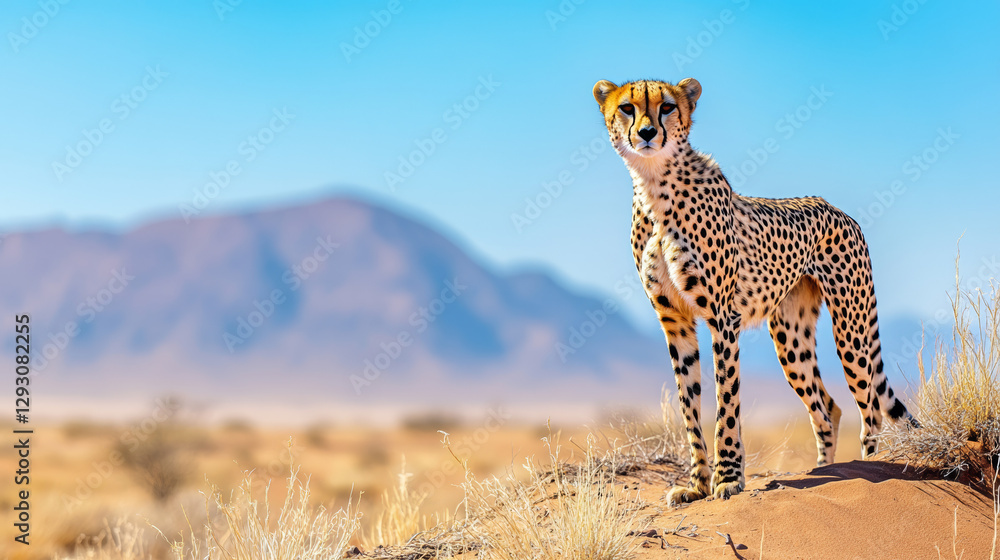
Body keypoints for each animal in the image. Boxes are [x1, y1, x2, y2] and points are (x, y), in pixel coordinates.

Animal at [593, 77, 917, 504]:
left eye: (667, 107)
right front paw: (696, 485)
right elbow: (688, 405)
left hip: (852, 329)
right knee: (827, 406)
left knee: (871, 406)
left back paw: (865, 468)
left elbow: (726, 403)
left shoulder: (721, 318)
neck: (655, 184)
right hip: (791, 339)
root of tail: (837, 208)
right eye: (627, 108)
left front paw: (728, 478)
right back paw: (824, 470)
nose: (647, 133)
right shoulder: (674, 321)